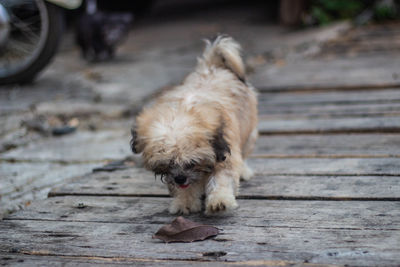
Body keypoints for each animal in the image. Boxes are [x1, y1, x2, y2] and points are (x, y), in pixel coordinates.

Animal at [130, 35, 258, 216]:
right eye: (168, 164)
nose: (180, 178)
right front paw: (185, 202)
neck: (184, 110)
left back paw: (244, 171)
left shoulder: (225, 155)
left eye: (192, 163)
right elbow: (186, 190)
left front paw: (219, 201)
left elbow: (221, 179)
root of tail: (212, 65)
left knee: (245, 151)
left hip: (249, 131)